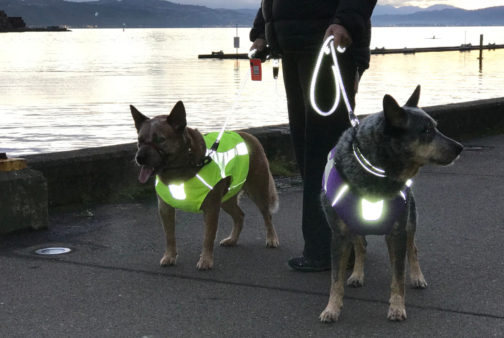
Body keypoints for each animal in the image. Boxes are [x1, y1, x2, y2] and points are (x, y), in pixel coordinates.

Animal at [130, 100, 280, 270]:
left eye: (160, 140)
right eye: (140, 141)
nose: (139, 158)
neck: (180, 168)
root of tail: (251, 136)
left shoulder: (211, 208)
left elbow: (208, 237)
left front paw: (206, 259)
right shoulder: (165, 208)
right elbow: (169, 236)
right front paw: (169, 256)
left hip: (258, 189)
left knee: (267, 215)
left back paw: (272, 238)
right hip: (226, 198)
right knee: (240, 215)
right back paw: (232, 239)